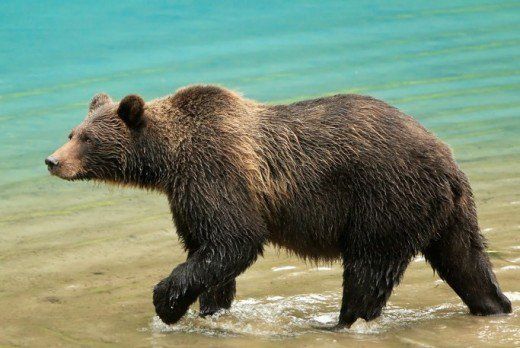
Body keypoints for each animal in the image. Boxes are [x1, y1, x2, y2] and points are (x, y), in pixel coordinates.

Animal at [45, 85, 512, 328]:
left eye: (87, 138)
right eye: (72, 132)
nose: (52, 160)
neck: (169, 161)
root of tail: (449, 162)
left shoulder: (216, 173)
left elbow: (235, 241)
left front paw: (167, 303)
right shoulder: (188, 195)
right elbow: (208, 251)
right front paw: (211, 308)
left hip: (385, 201)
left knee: (367, 270)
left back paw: (340, 321)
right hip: (446, 214)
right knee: (467, 262)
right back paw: (496, 305)